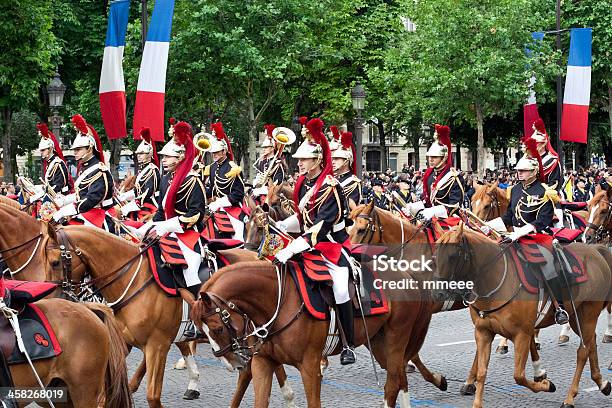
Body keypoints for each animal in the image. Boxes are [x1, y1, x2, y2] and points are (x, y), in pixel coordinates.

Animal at [191, 242, 436, 404]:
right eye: (201, 331)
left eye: (217, 328)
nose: (232, 364)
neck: (279, 300)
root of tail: (407, 274)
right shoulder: (263, 363)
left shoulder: (310, 368)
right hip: (378, 343)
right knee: (400, 379)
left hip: (395, 339)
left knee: (392, 384)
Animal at [436, 223, 612, 408]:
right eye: (436, 253)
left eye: (452, 256)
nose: (438, 293)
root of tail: (596, 251)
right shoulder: (483, 332)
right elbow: (482, 371)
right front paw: (476, 401)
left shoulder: (522, 335)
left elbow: (519, 376)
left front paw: (546, 384)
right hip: (577, 318)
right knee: (591, 342)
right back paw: (602, 384)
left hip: (588, 315)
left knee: (583, 351)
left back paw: (570, 397)